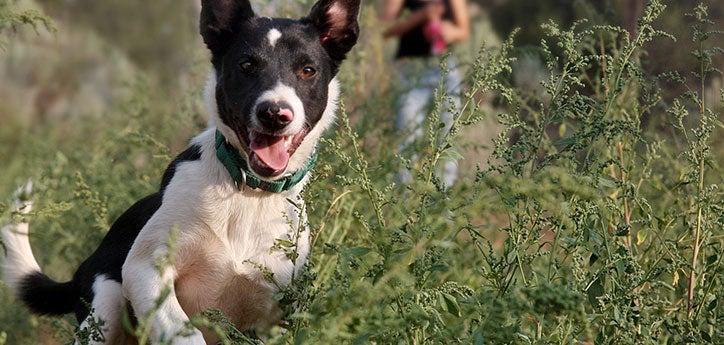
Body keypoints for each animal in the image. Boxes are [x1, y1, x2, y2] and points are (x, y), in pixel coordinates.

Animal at [0, 1, 362, 342]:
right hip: (104, 307)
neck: (247, 192)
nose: (275, 113)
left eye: (307, 70)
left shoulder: (275, 314)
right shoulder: (145, 270)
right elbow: (185, 331)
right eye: (246, 65)